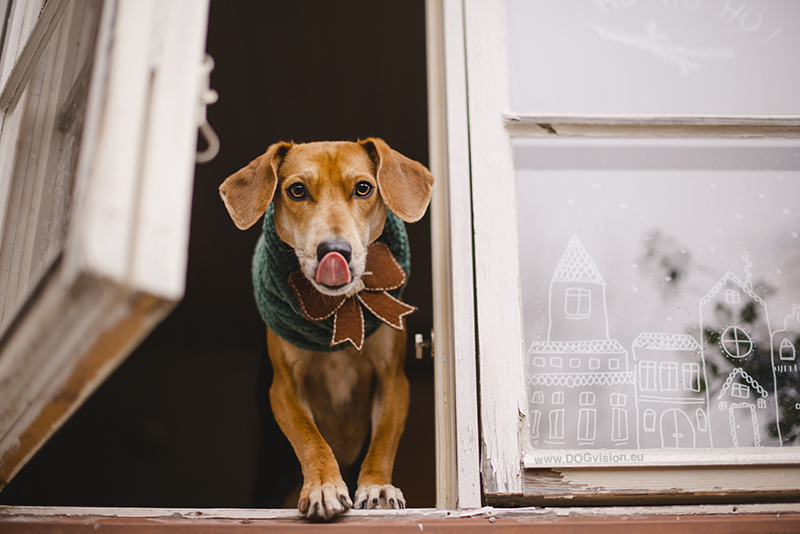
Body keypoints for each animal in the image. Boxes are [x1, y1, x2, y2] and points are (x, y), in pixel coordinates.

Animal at [217, 138, 432, 520]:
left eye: (363, 188)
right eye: (297, 190)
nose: (335, 251)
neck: (338, 310)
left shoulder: (393, 380)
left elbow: (382, 440)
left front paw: (376, 486)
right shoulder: (284, 386)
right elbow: (310, 437)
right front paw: (323, 486)